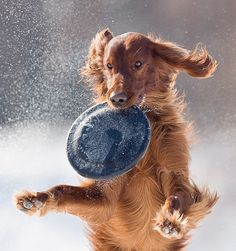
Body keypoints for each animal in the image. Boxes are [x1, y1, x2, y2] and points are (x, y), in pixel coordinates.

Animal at [14, 29, 218, 251]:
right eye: (109, 66)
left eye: (138, 63)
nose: (116, 99)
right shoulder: (104, 199)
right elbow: (62, 190)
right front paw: (36, 199)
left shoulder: (175, 174)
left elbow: (176, 197)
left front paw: (170, 221)